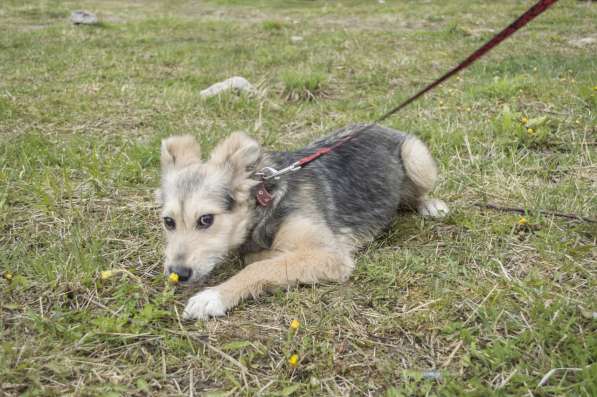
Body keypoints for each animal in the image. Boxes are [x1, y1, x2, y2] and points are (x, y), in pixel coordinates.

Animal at [156, 124, 444, 318]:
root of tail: (380, 126)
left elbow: (255, 268)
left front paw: (213, 296)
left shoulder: (331, 255)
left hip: (415, 157)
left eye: (206, 219)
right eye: (168, 222)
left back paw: (430, 205)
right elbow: (260, 259)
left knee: (417, 193)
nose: (177, 274)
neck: (266, 200)